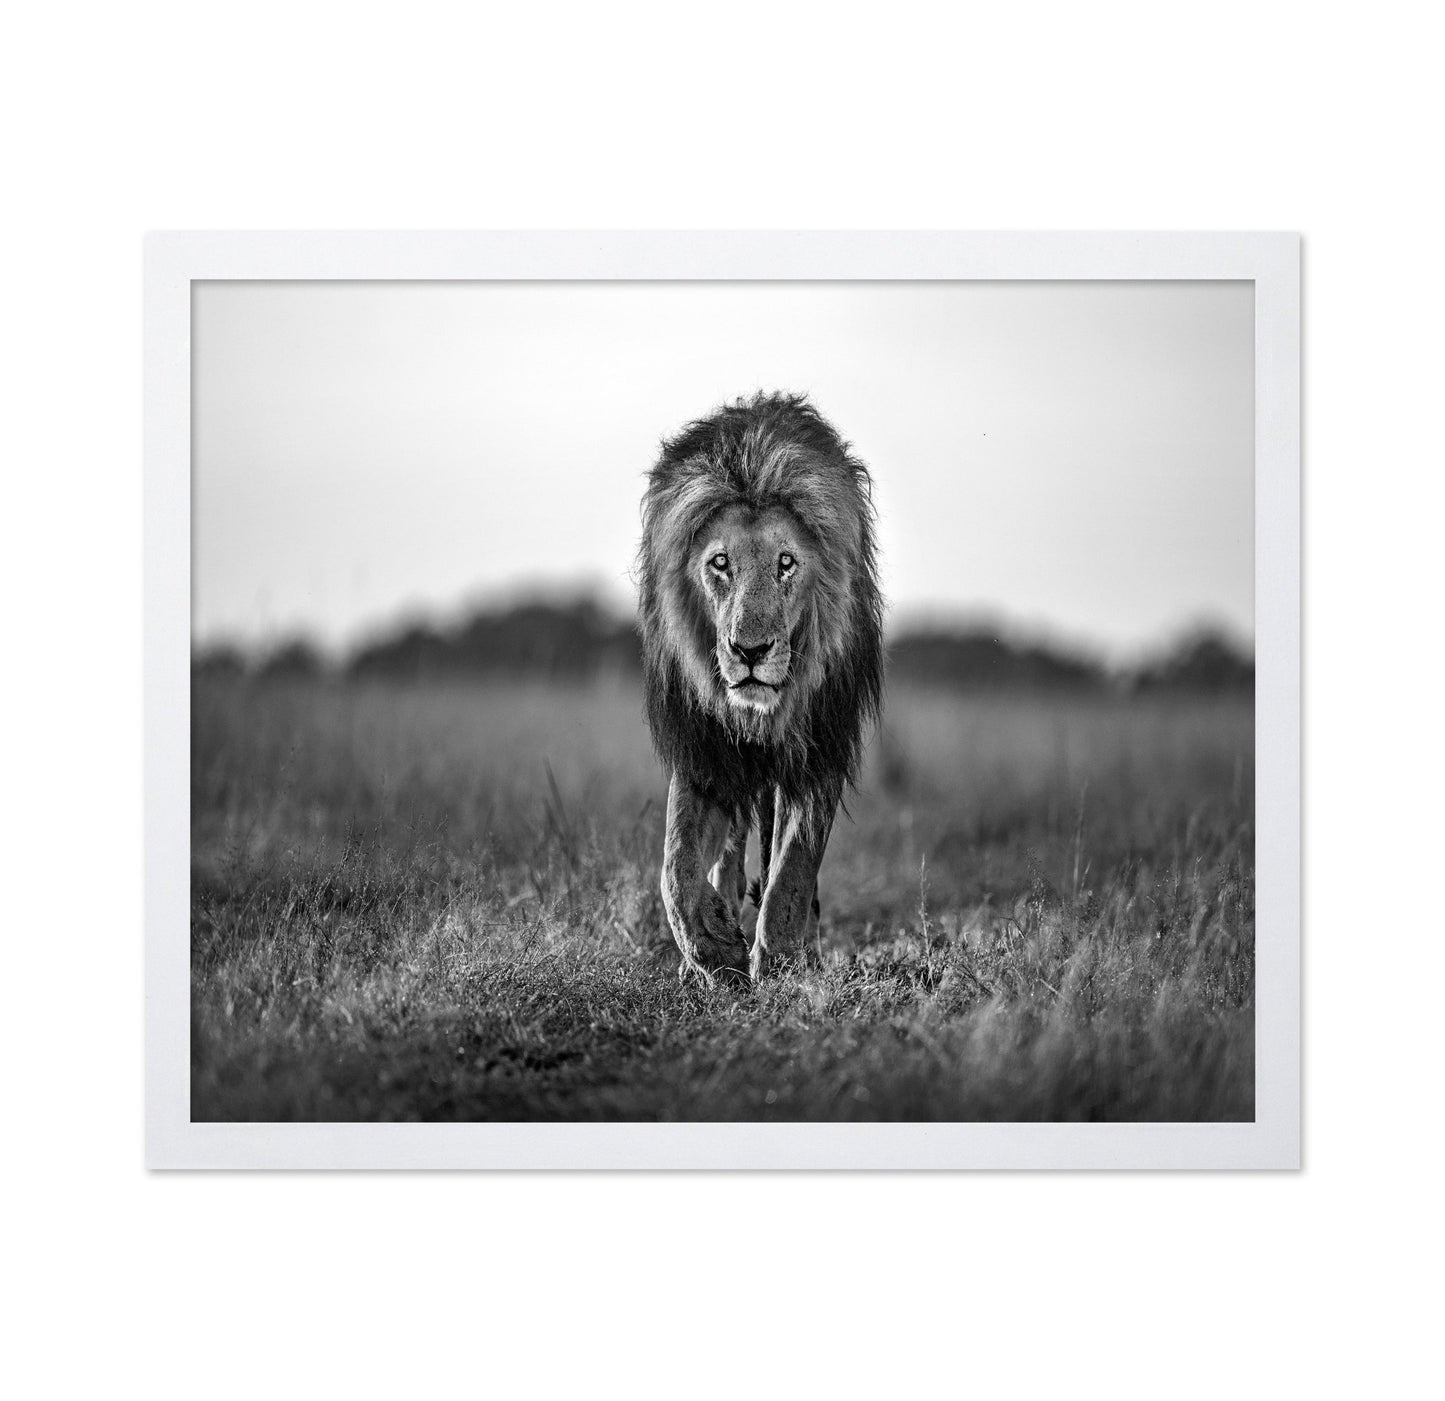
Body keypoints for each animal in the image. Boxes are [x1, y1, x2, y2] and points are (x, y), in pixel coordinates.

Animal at [637, 392, 884, 984]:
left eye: (786, 563)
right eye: (720, 563)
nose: (750, 652)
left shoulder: (819, 747)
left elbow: (793, 868)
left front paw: (779, 960)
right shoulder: (703, 749)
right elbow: (675, 866)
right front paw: (712, 947)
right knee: (727, 852)